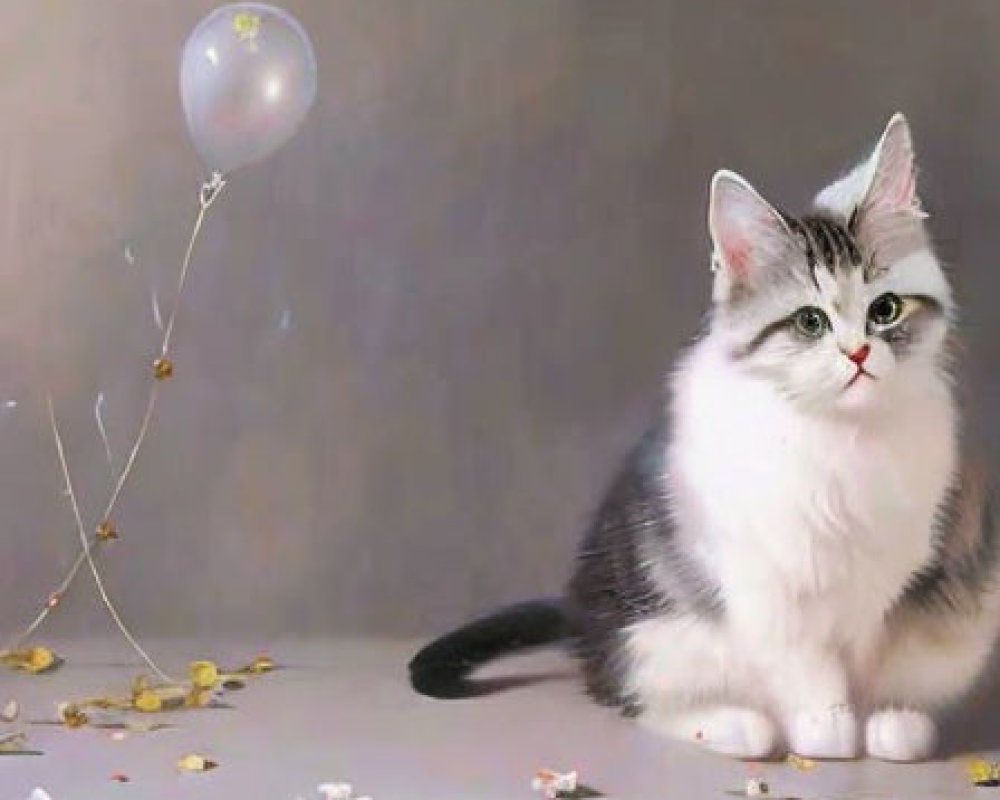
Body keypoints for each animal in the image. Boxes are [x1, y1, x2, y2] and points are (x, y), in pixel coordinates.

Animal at [410, 114, 996, 764]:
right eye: (810, 322)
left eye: (885, 310)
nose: (859, 354)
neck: (842, 436)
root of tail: (581, 614)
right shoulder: (766, 586)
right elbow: (808, 666)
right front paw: (827, 727)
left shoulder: (881, 587)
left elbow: (867, 658)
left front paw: (877, 722)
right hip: (652, 637)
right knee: (634, 698)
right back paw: (736, 725)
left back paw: (904, 723)